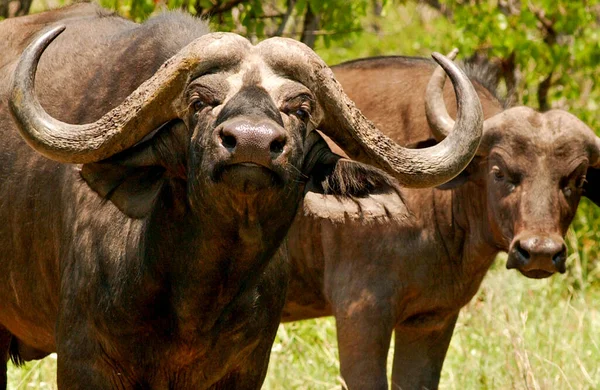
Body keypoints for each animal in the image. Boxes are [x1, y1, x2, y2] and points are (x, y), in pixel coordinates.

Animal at [0, 3, 482, 390]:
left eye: (300, 108)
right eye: (199, 101)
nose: (251, 142)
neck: (195, 299)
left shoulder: (247, 368)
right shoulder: (84, 361)